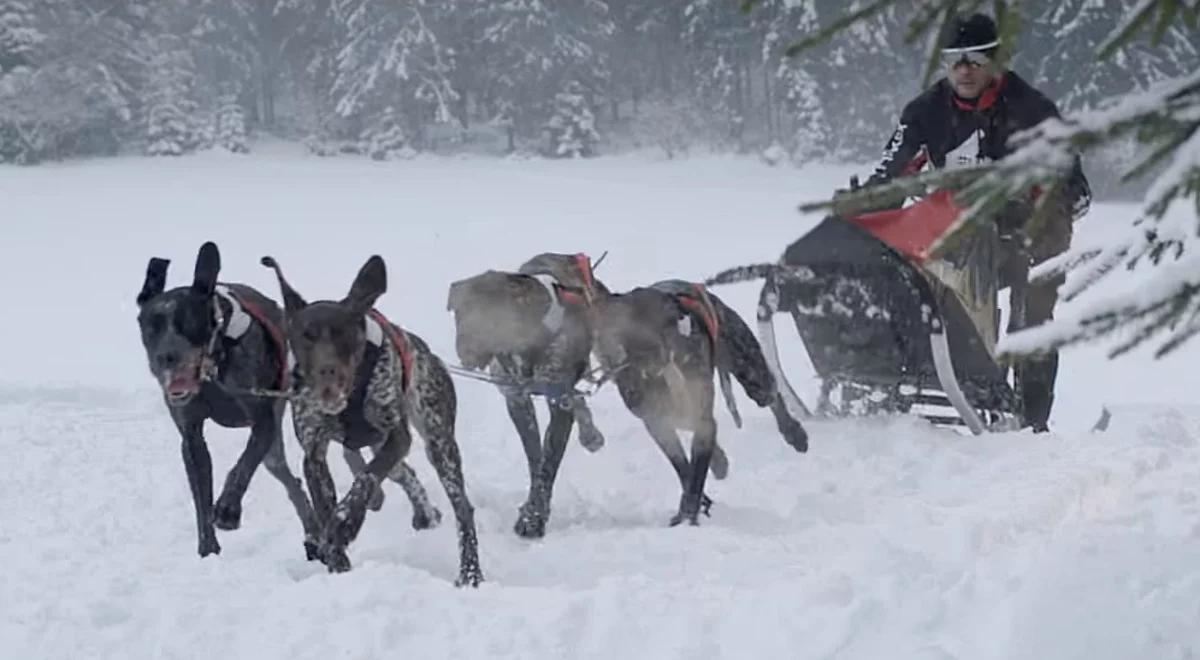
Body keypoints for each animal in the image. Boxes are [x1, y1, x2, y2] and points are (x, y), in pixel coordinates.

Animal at [262, 255, 482, 588]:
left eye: (343, 333)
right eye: (305, 336)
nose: (327, 373)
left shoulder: (396, 436)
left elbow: (365, 478)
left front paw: (346, 522)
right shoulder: (314, 455)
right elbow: (324, 507)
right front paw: (336, 559)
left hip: (440, 445)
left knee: (462, 510)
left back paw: (470, 572)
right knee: (406, 474)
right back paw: (426, 514)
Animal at [444, 252, 604, 537]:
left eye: (489, 316)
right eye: (460, 312)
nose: (465, 353)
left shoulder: (558, 400)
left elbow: (548, 463)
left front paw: (533, 519)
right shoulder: (516, 400)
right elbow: (535, 457)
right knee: (579, 399)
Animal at [590, 279, 806, 528]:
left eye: (645, 349)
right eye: (609, 353)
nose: (633, 397)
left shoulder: (701, 419)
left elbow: (695, 477)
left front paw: (689, 517)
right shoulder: (659, 426)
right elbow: (684, 469)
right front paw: (689, 508)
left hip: (751, 374)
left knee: (772, 393)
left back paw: (794, 433)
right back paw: (719, 460)